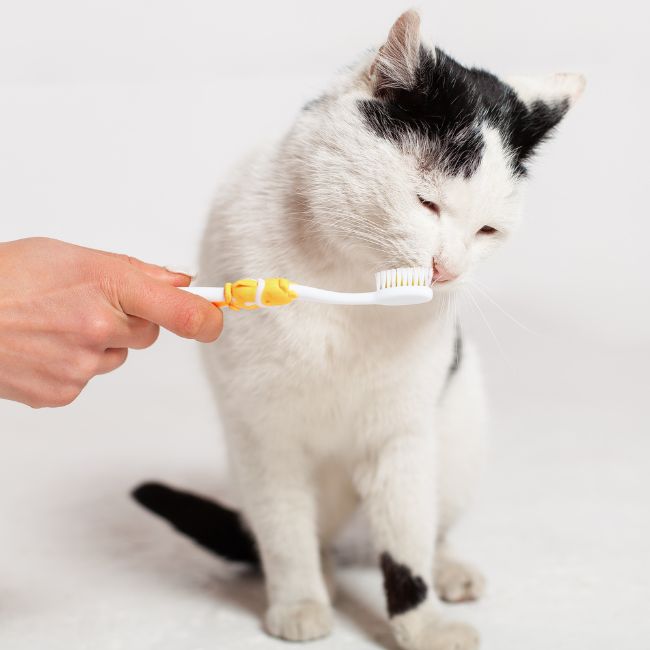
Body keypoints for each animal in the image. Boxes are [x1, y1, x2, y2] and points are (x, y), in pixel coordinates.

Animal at [133, 10, 584, 648]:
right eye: (426, 204)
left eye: (488, 231)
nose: (447, 268)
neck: (348, 282)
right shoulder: (264, 434)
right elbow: (285, 531)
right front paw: (299, 600)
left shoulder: (401, 436)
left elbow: (406, 546)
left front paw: (421, 624)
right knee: (296, 533)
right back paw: (320, 575)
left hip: (458, 435)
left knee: (424, 530)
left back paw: (449, 569)